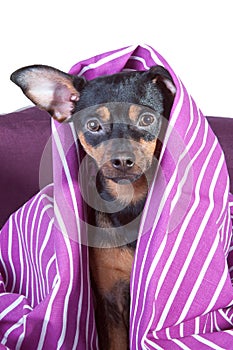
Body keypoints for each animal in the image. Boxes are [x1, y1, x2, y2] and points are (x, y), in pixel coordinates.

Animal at [10, 64, 175, 348]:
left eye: (147, 119)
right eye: (93, 125)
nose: (122, 160)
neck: (129, 202)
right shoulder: (111, 301)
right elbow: (118, 343)